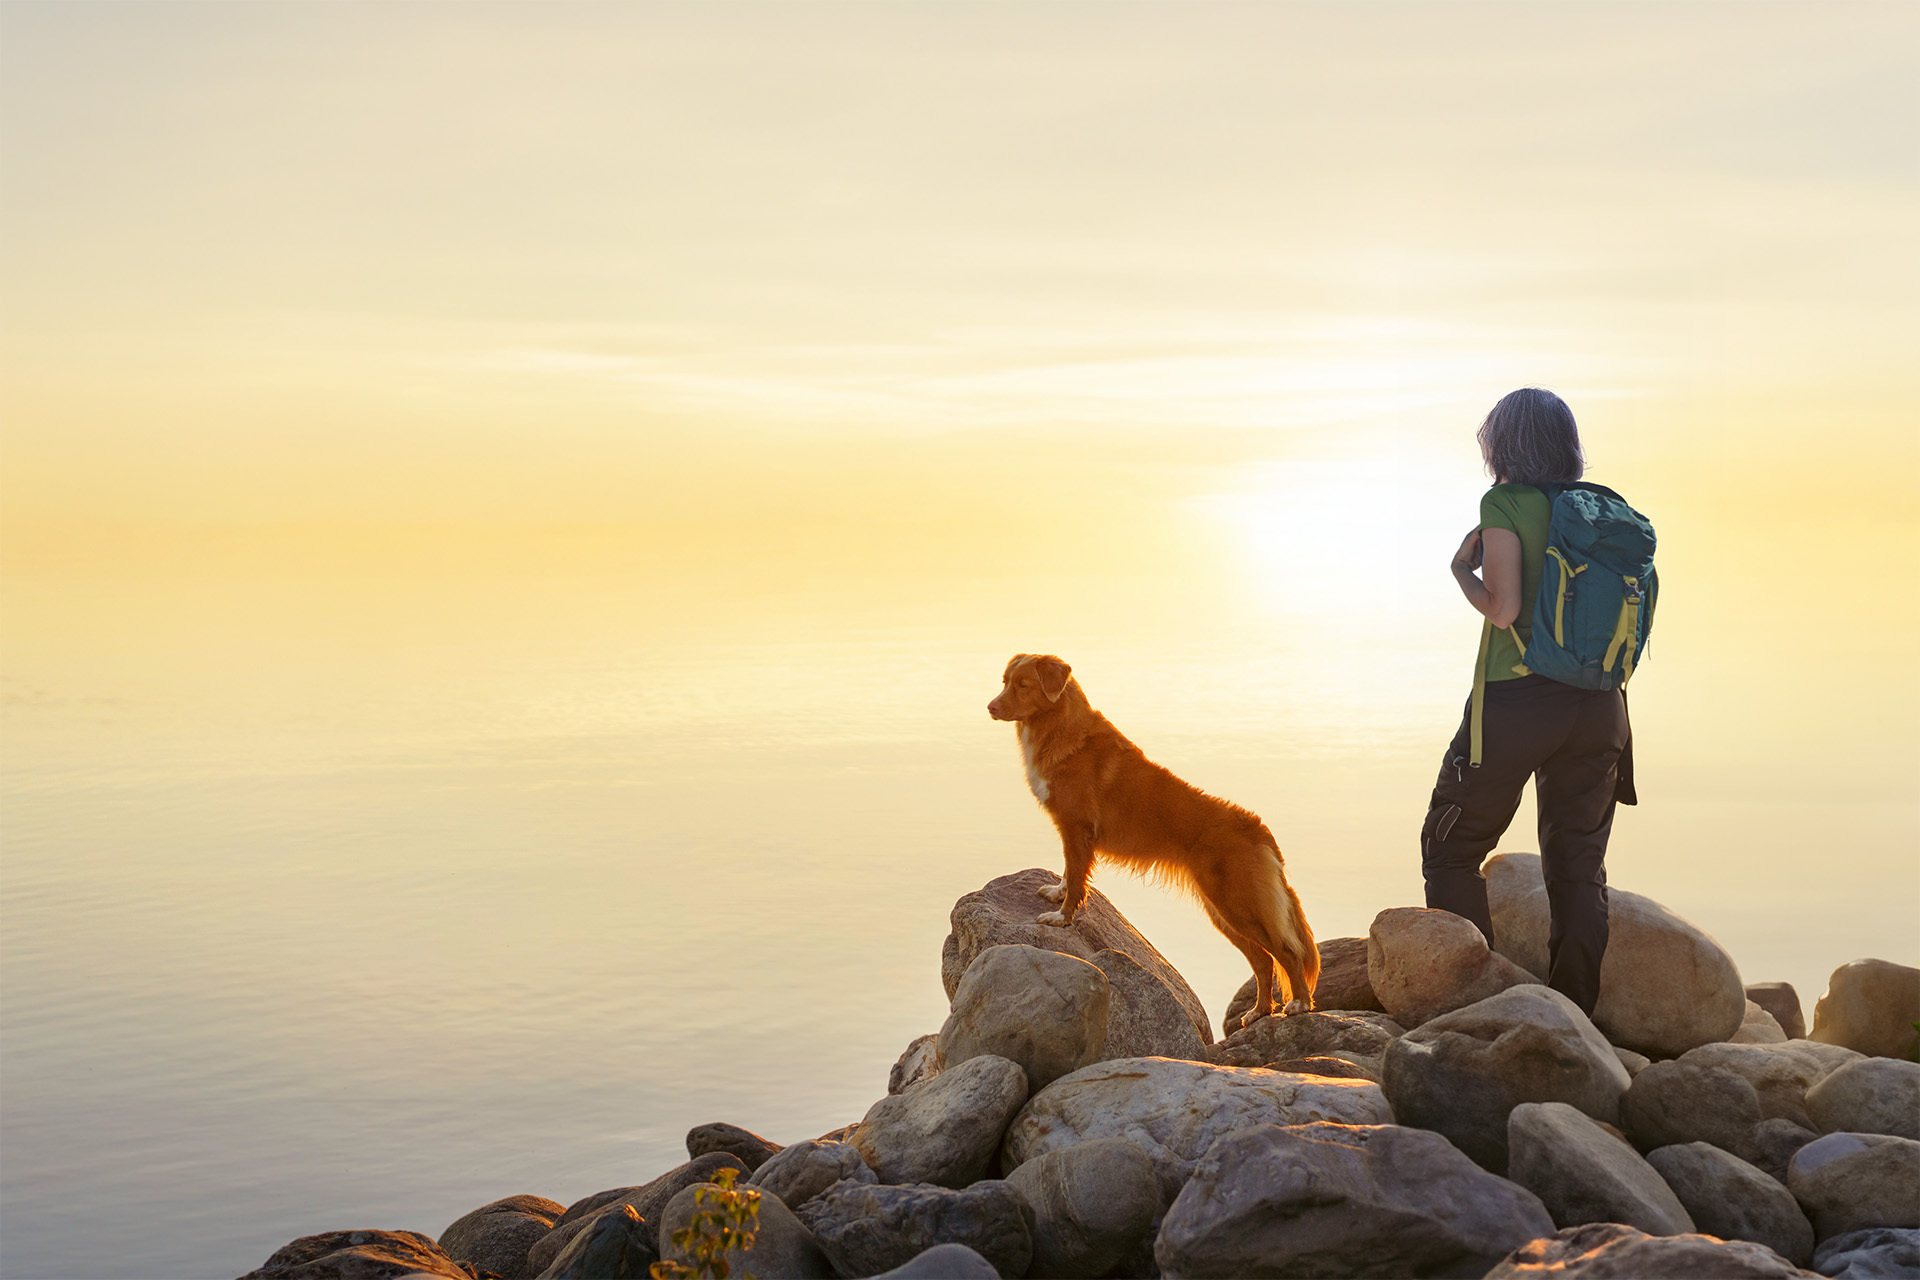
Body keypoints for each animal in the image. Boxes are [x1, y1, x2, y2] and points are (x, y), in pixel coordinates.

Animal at [990, 656, 1320, 1028]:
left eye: (1023, 685)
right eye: (1005, 682)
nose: (990, 707)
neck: (1060, 727)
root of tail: (1258, 829)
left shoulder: (1077, 829)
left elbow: (1076, 877)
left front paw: (1062, 917)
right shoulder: (1071, 832)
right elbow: (1069, 872)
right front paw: (1057, 893)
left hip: (1239, 905)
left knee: (1287, 953)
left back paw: (1300, 1004)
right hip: (1223, 912)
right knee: (1264, 961)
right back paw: (1261, 1010)